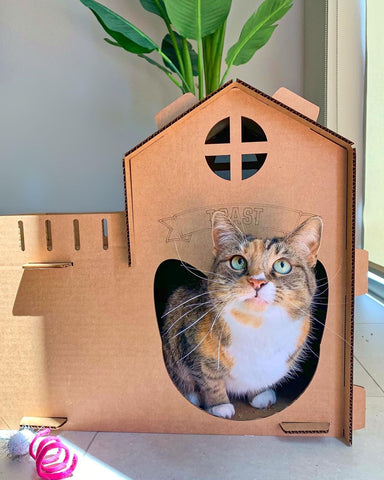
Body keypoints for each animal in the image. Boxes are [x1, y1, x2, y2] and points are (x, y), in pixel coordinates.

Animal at [160, 212, 322, 418]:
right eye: (238, 261)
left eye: (282, 265)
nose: (256, 282)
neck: (256, 325)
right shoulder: (188, 337)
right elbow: (209, 379)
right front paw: (219, 406)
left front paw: (260, 394)